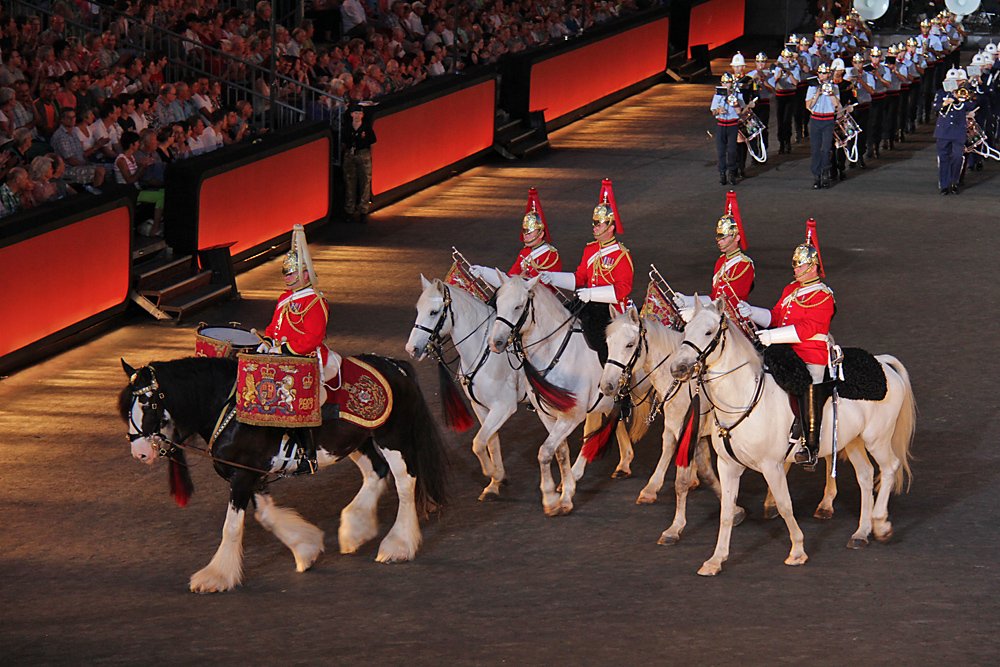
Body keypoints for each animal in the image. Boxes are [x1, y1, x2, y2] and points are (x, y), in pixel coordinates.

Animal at [117, 358, 446, 592]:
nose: (140, 452)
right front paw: (306, 549)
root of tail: (396, 366)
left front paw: (216, 576)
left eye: (148, 402)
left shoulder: (242, 476)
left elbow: (232, 527)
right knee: (376, 473)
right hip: (357, 442)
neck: (228, 409)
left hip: (392, 438)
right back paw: (354, 531)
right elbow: (266, 516)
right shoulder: (254, 474)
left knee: (405, 482)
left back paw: (398, 545)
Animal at [490, 274, 632, 520]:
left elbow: (545, 452)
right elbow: (560, 451)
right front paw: (565, 492)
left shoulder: (571, 416)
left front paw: (551, 498)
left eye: (518, 306)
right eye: (498, 303)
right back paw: (622, 462)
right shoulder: (548, 415)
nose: (495, 343)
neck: (553, 351)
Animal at [596, 310, 748, 544]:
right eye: (608, 342)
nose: (607, 386)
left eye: (630, 344)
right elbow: (701, 467)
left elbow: (682, 480)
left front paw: (675, 528)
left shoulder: (689, 431)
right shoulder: (678, 428)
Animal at [672, 300, 916, 576]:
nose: (678, 369)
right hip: (853, 441)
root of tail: (881, 363)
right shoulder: (728, 466)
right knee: (865, 475)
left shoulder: (772, 466)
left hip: (877, 439)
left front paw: (798, 551)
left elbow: (784, 505)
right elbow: (726, 510)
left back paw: (880, 523)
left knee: (889, 468)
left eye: (709, 332)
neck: (744, 397)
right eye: (685, 328)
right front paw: (716, 560)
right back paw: (861, 532)